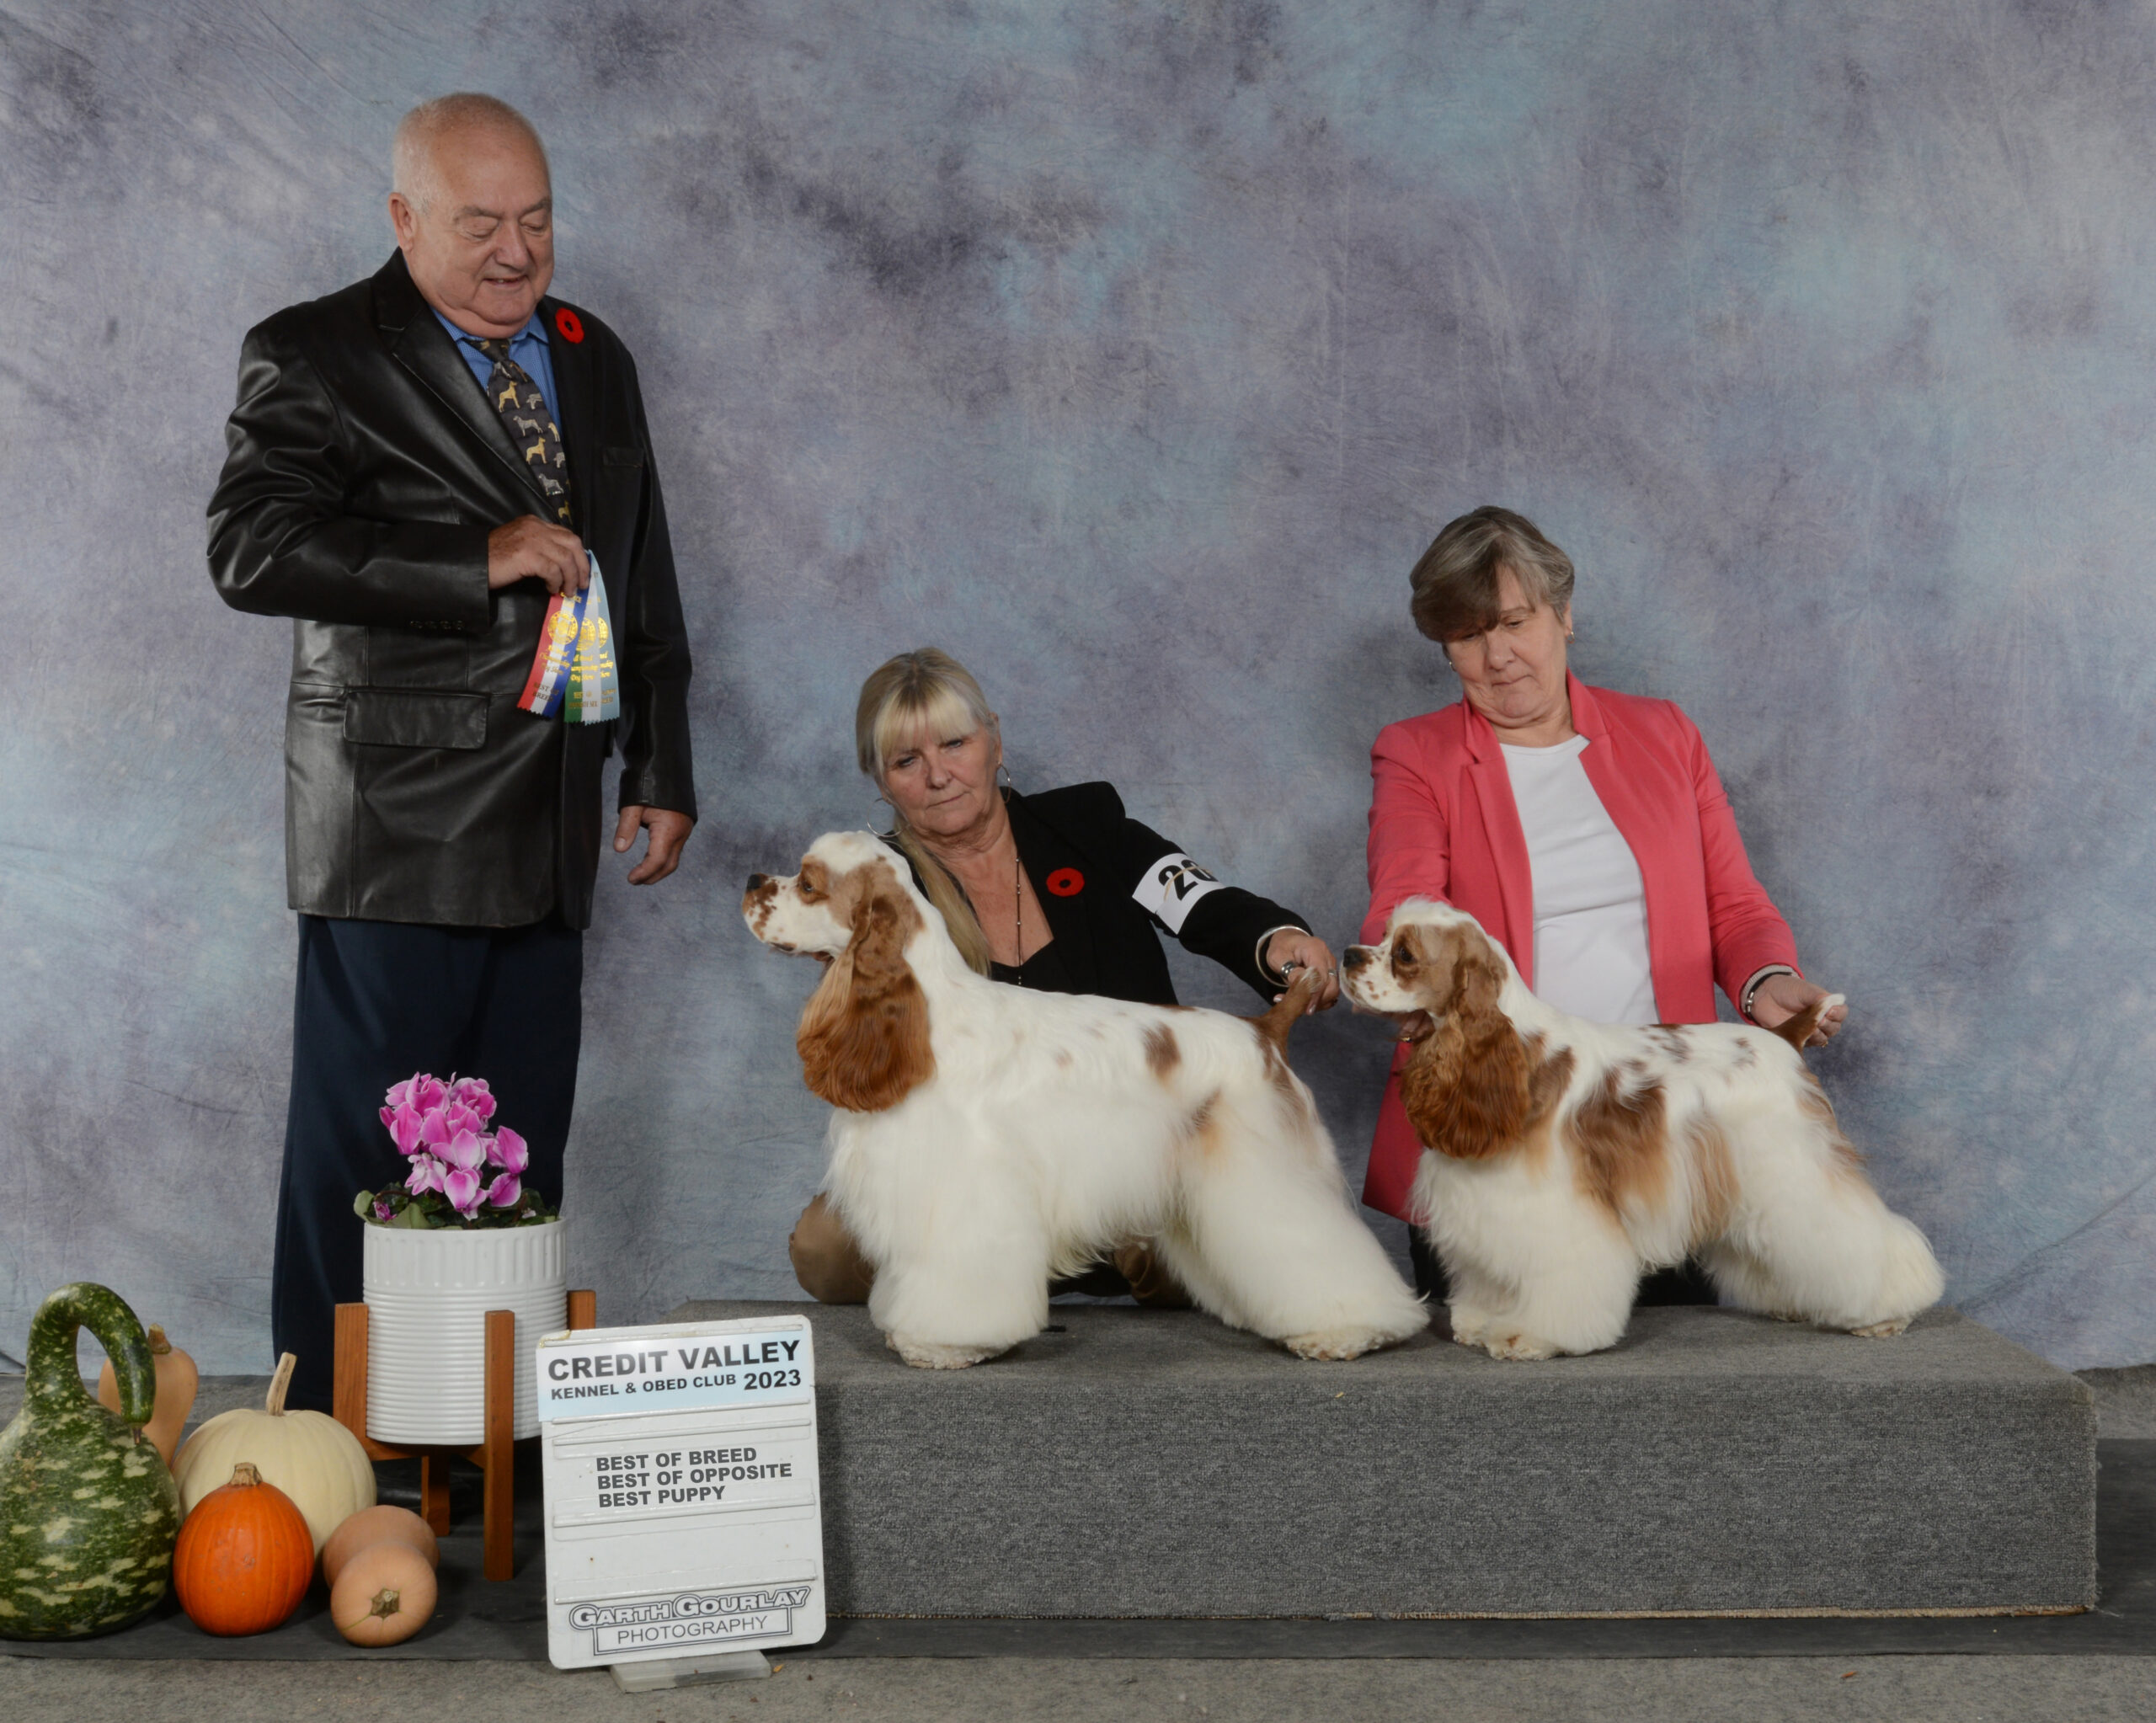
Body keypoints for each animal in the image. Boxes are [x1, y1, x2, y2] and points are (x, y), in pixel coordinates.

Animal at [1340, 899, 1943, 1360]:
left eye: (1404, 955)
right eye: (1384, 935)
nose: (1347, 955)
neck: (1508, 1054)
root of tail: (1783, 1038)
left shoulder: (1553, 1208)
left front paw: (1528, 1334)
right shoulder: (1483, 1204)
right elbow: (1489, 1270)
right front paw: (1479, 1319)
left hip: (1795, 1166)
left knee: (1858, 1235)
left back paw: (1886, 1311)